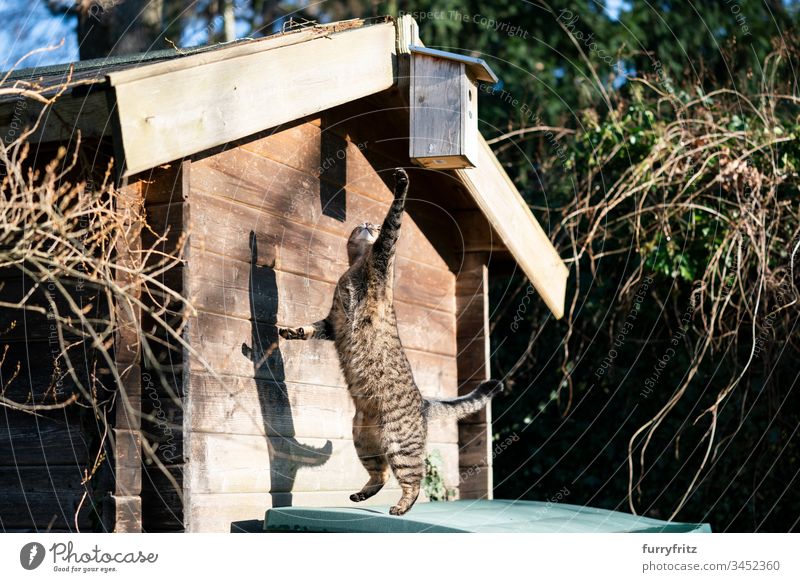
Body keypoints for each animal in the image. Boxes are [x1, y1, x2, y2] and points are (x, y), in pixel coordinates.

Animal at [278, 168, 504, 516]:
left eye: (372, 224)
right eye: (360, 225)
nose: (366, 223)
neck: (357, 264)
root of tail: (424, 403)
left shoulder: (384, 253)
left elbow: (394, 217)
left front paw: (402, 182)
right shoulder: (333, 322)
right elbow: (309, 328)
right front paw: (291, 332)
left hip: (401, 446)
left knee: (413, 482)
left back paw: (400, 507)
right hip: (363, 440)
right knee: (380, 474)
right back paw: (361, 495)